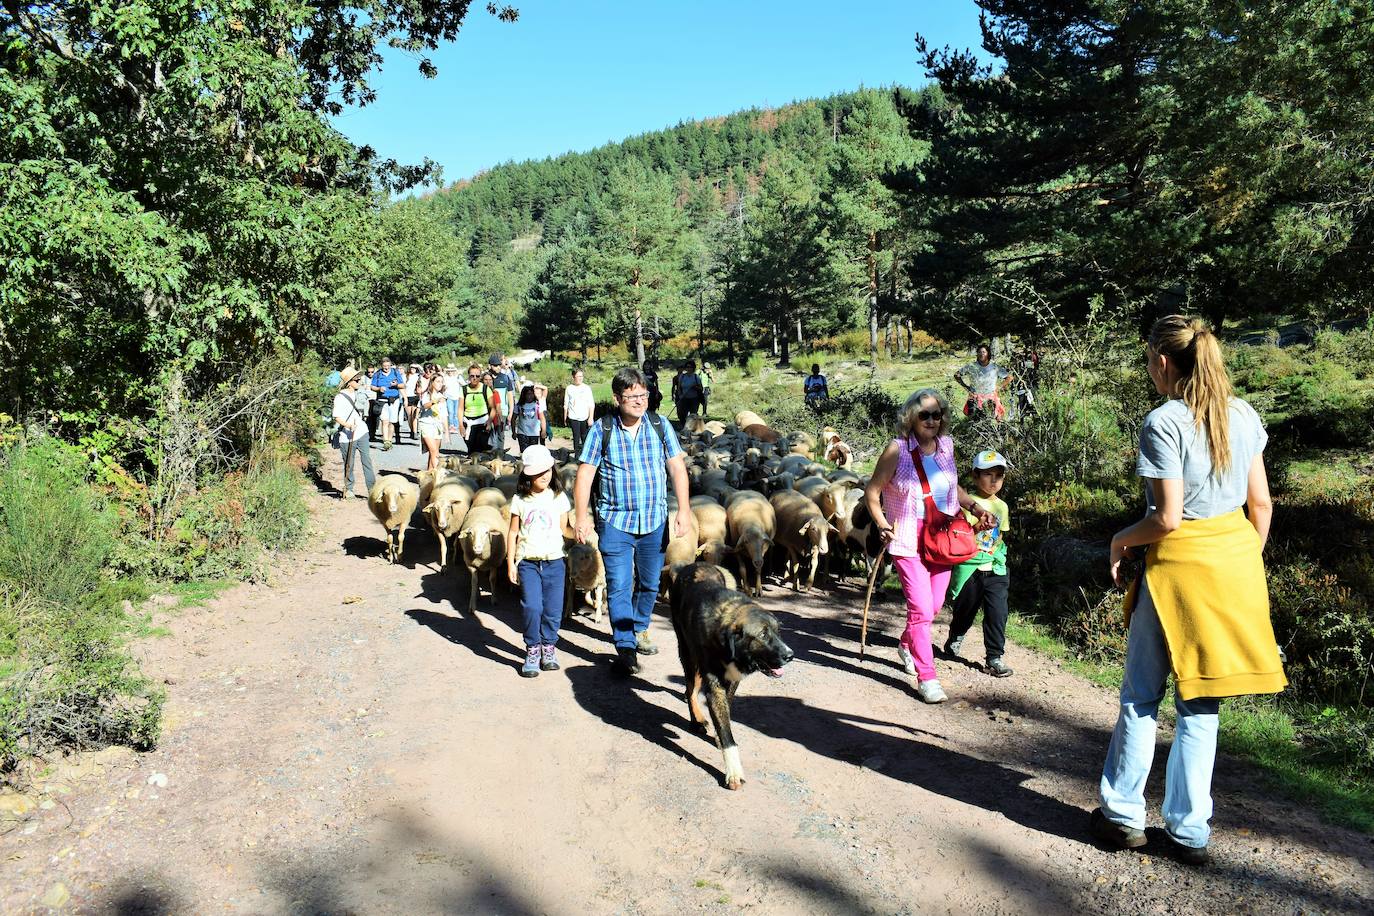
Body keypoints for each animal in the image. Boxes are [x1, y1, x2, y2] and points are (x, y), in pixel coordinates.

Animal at [667, 563, 796, 791]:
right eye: (762, 635)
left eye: (778, 632)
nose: (790, 655)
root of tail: (691, 564)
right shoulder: (715, 686)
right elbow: (727, 733)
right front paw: (734, 772)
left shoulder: (733, 680)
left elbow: (725, 713)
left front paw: (719, 736)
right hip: (688, 654)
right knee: (690, 690)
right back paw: (696, 720)